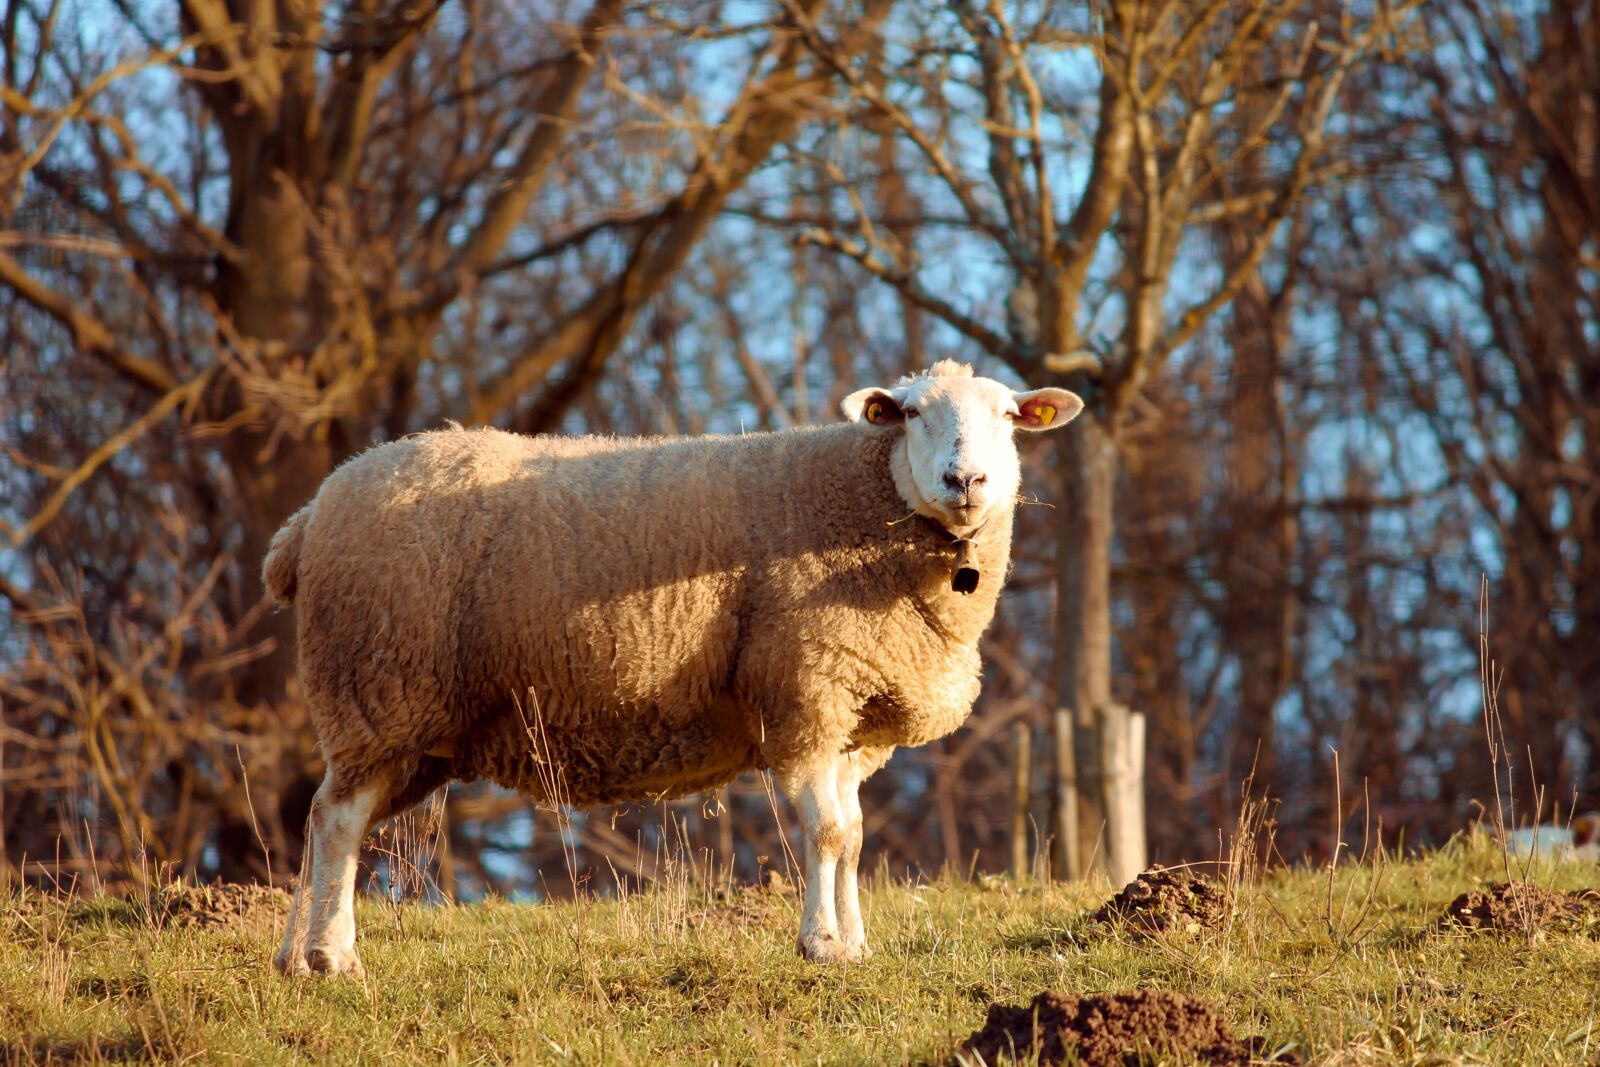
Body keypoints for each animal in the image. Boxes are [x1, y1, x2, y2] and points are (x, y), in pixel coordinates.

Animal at [262, 359, 1083, 975]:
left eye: (1009, 416)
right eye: (911, 413)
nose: (965, 481)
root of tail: (305, 519)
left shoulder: (852, 718)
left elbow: (850, 836)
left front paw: (853, 942)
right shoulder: (805, 693)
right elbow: (823, 834)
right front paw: (820, 945)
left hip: (412, 730)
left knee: (325, 822)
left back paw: (295, 956)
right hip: (377, 688)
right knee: (338, 820)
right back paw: (334, 957)